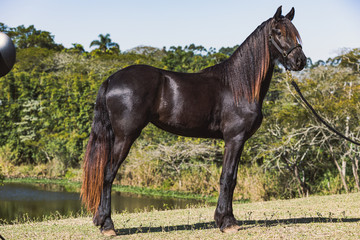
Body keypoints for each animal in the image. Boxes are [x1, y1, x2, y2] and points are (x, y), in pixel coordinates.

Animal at [81, 6, 306, 235]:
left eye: (295, 32)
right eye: (278, 32)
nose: (300, 61)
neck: (238, 86)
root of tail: (111, 79)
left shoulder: (237, 141)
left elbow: (231, 178)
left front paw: (224, 219)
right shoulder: (234, 139)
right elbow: (228, 178)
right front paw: (227, 222)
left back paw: (100, 220)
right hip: (125, 137)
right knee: (108, 174)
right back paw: (108, 225)